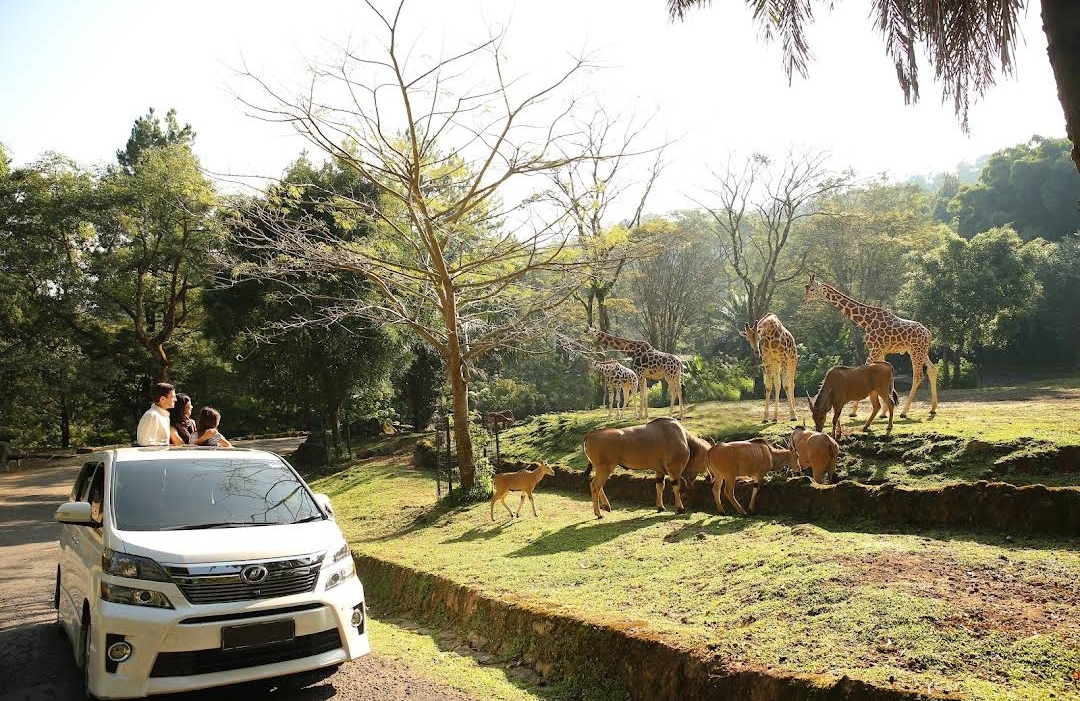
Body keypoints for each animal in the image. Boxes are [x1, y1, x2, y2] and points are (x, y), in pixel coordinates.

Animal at [803, 273, 937, 414]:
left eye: (811, 289)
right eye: (805, 287)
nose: (804, 301)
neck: (866, 321)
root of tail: (929, 334)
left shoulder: (874, 349)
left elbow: (864, 370)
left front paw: (854, 411)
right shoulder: (881, 350)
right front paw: (884, 411)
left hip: (916, 352)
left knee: (918, 376)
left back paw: (904, 412)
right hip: (922, 352)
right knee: (932, 370)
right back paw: (933, 408)